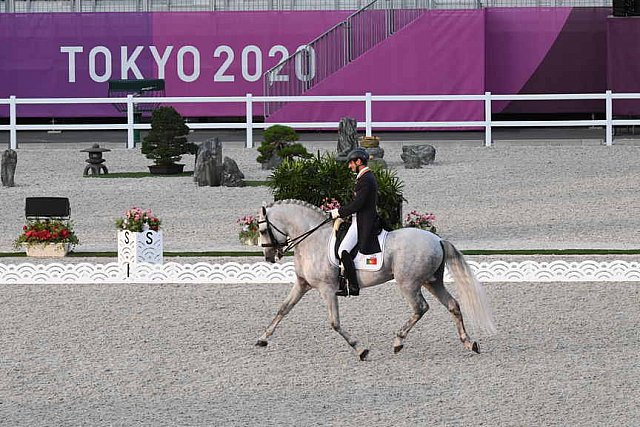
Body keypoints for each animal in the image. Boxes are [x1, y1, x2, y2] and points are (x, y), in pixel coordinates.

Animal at [255, 201, 496, 362]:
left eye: (263, 229)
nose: (268, 257)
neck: (312, 240)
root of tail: (437, 239)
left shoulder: (327, 289)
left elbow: (335, 323)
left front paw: (360, 349)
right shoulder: (302, 284)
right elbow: (283, 309)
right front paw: (262, 339)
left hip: (408, 283)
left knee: (420, 308)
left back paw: (398, 341)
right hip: (432, 282)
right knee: (453, 305)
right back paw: (469, 342)